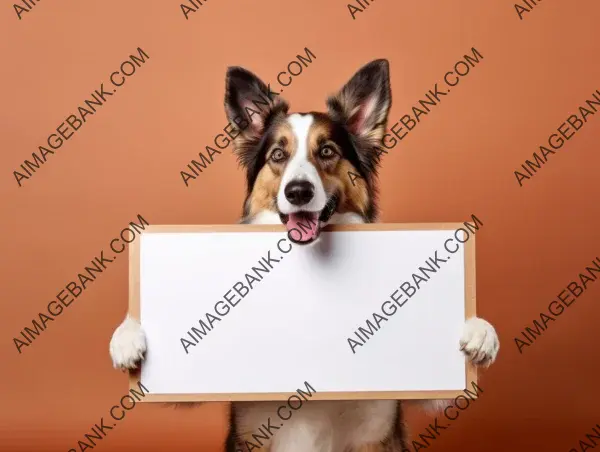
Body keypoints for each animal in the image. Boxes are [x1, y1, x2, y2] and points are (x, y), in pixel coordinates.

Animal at [109, 60, 502, 452]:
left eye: (326, 151)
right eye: (277, 155)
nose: (299, 192)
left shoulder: (406, 401)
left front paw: (480, 332)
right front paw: (128, 335)